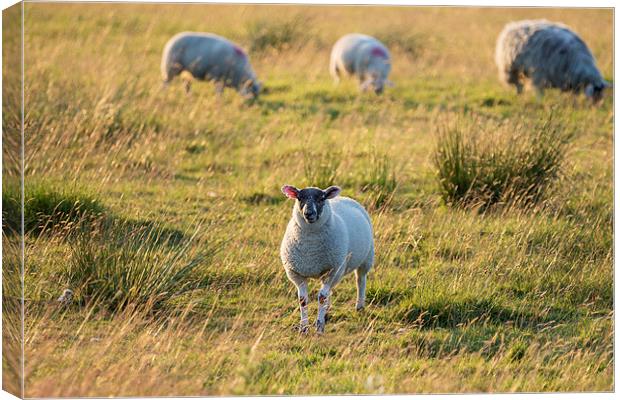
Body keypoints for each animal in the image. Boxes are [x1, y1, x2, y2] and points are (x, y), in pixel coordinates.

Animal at [280, 186, 372, 332]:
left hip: (365, 259)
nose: (309, 213)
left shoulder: (332, 271)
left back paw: (359, 306)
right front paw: (303, 328)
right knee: (330, 291)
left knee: (360, 280)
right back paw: (327, 312)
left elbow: (322, 297)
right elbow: (303, 300)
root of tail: (343, 197)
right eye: (299, 198)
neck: (311, 250)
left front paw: (319, 327)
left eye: (321, 198)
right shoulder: (297, 274)